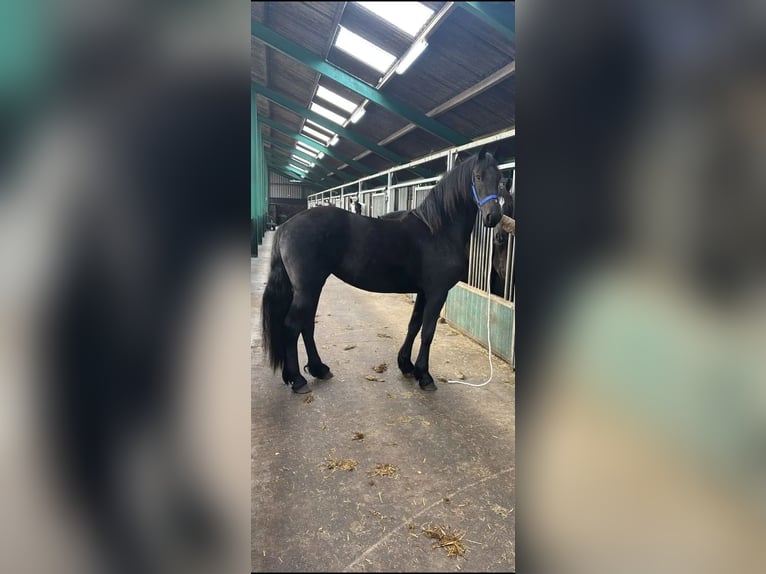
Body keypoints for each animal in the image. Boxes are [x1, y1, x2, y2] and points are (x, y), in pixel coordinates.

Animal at [261, 147, 503, 393]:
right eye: (478, 177)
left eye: (501, 180)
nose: (493, 216)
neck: (437, 231)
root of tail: (286, 226)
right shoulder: (437, 292)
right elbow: (428, 332)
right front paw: (425, 375)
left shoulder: (423, 291)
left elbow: (414, 325)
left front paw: (406, 365)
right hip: (307, 288)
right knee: (293, 326)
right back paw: (298, 379)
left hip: (311, 287)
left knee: (307, 325)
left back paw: (319, 369)